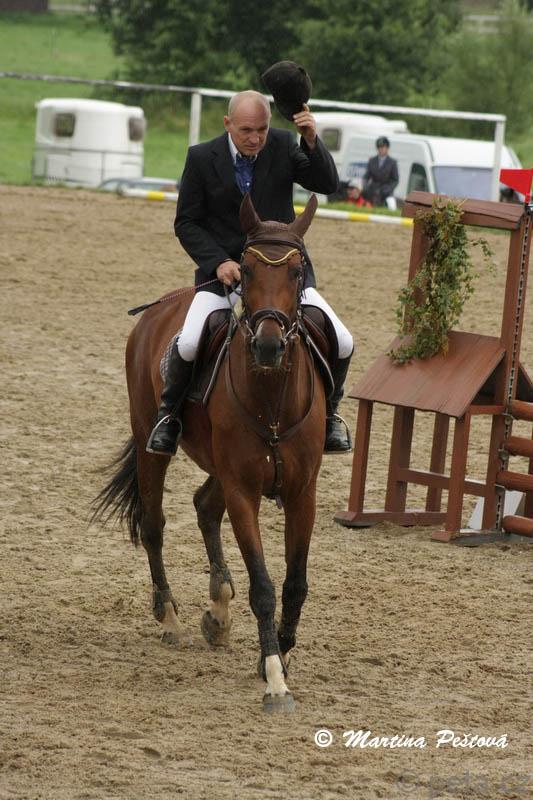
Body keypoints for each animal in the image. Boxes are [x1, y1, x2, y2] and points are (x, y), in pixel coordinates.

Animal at [92, 193, 326, 712]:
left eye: (297, 271)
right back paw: (171, 617)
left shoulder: (302, 493)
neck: (272, 396)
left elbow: (296, 583)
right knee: (154, 525)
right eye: (246, 267)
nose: (268, 346)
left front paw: (279, 653)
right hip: (151, 442)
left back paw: (217, 609)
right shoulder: (243, 491)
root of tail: (163, 305)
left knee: (202, 506)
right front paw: (275, 679)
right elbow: (263, 586)